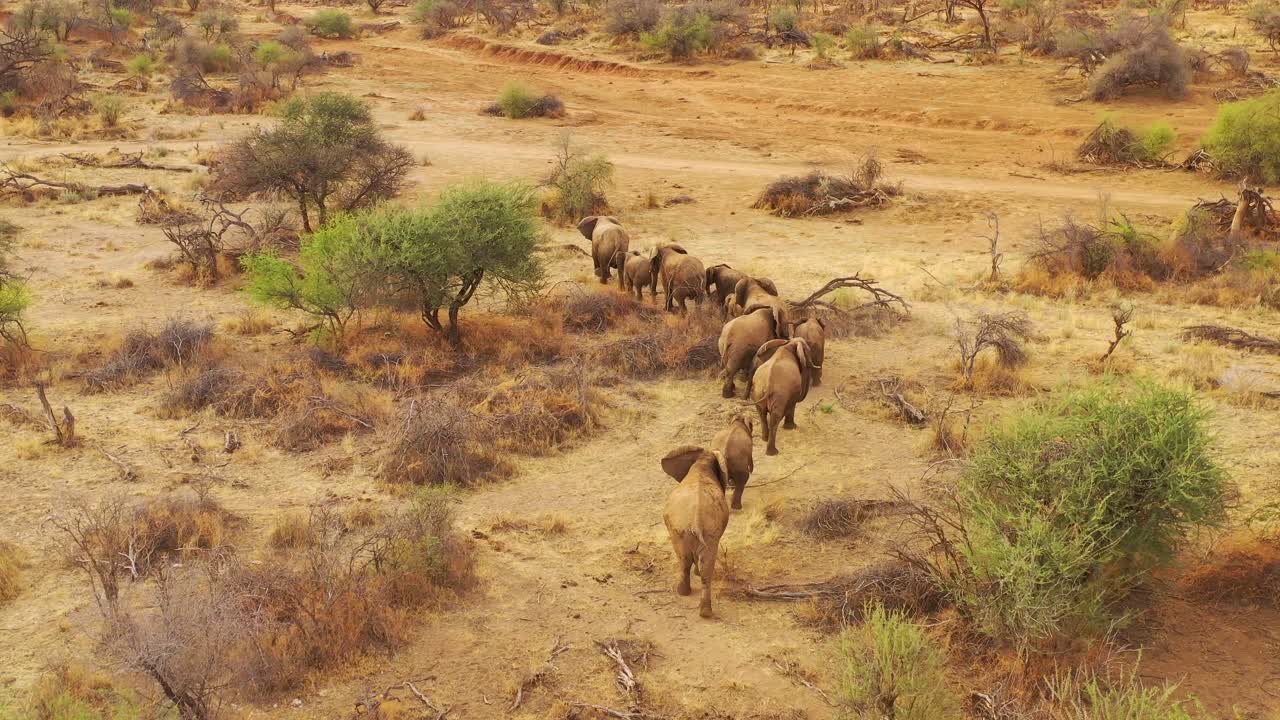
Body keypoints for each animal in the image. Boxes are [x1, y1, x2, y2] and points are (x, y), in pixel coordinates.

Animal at [661, 444, 731, 619]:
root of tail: (696, 519)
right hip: (697, 532)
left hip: (683, 532)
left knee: (685, 560)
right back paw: (703, 610)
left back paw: (685, 594)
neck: (703, 461)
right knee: (702, 565)